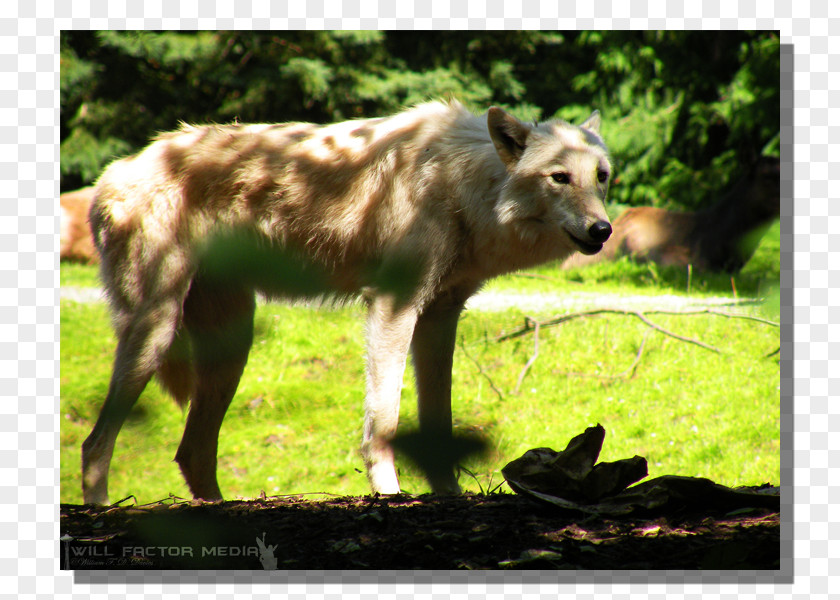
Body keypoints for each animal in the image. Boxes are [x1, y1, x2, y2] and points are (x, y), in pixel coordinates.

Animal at [82, 101, 612, 504]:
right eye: (559, 177)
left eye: (602, 177)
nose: (602, 230)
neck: (457, 184)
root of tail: (112, 173)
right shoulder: (393, 307)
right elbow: (384, 422)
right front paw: (390, 495)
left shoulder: (440, 317)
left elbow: (438, 420)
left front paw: (448, 495)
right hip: (154, 333)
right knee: (95, 444)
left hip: (231, 347)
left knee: (191, 452)